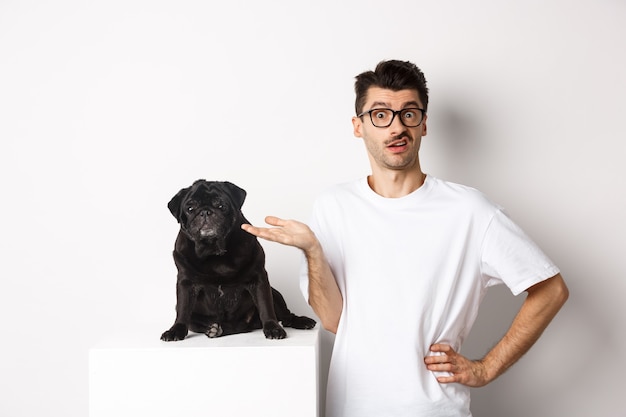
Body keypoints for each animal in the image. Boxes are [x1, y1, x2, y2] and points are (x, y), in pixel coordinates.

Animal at [158, 180, 314, 342]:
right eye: (190, 208)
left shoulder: (258, 279)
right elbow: (183, 310)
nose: (205, 212)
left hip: (275, 294)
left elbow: (265, 306)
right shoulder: (186, 283)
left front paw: (273, 327)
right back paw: (215, 329)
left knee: (286, 315)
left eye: (221, 205)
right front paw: (176, 330)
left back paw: (301, 321)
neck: (214, 252)